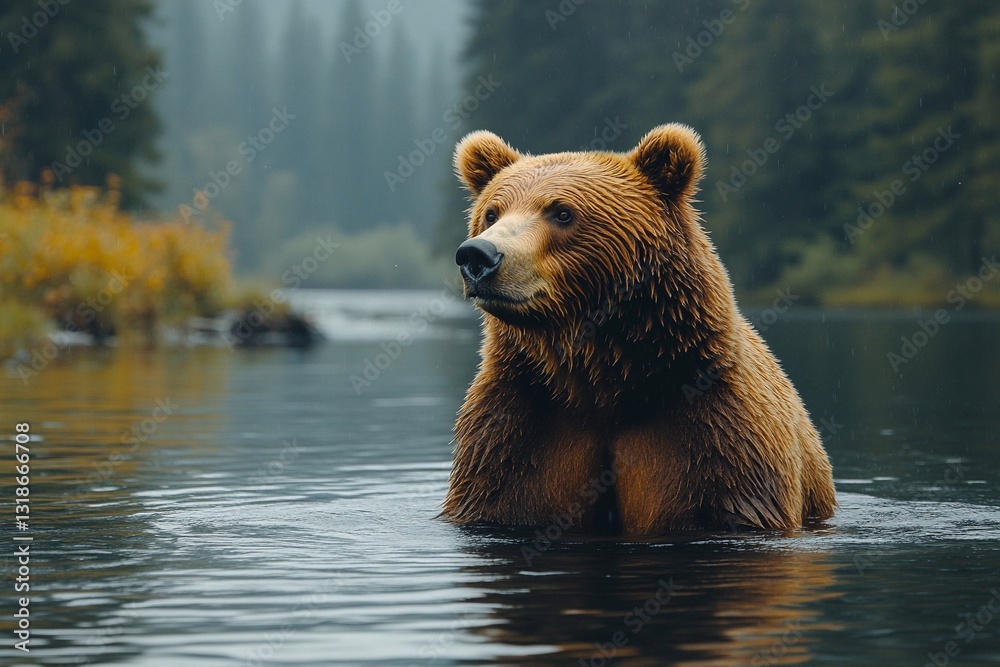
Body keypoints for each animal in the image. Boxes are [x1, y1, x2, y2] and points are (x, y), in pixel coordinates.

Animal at [443, 124, 836, 533]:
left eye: (562, 212)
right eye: (491, 213)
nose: (478, 255)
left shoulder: (719, 429)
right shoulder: (517, 425)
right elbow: (499, 491)